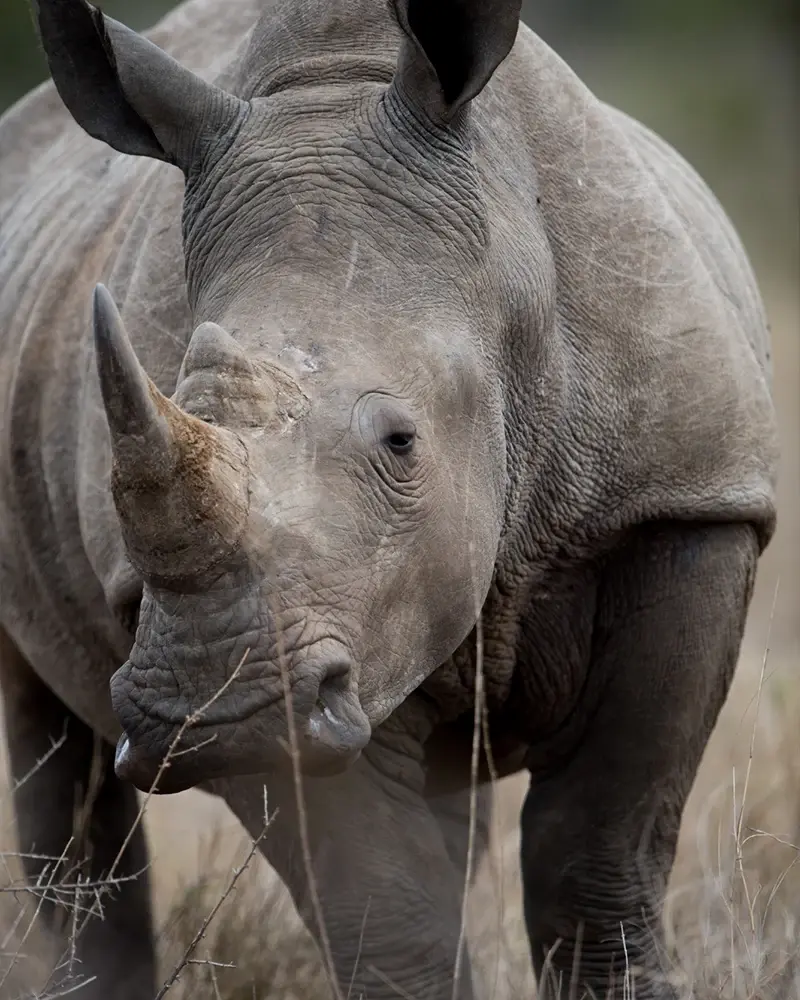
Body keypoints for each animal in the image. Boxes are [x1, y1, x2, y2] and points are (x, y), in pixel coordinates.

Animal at [0, 0, 778, 997]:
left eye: (401, 443)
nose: (204, 714)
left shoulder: (684, 500)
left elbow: (600, 852)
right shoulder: (288, 656)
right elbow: (384, 910)